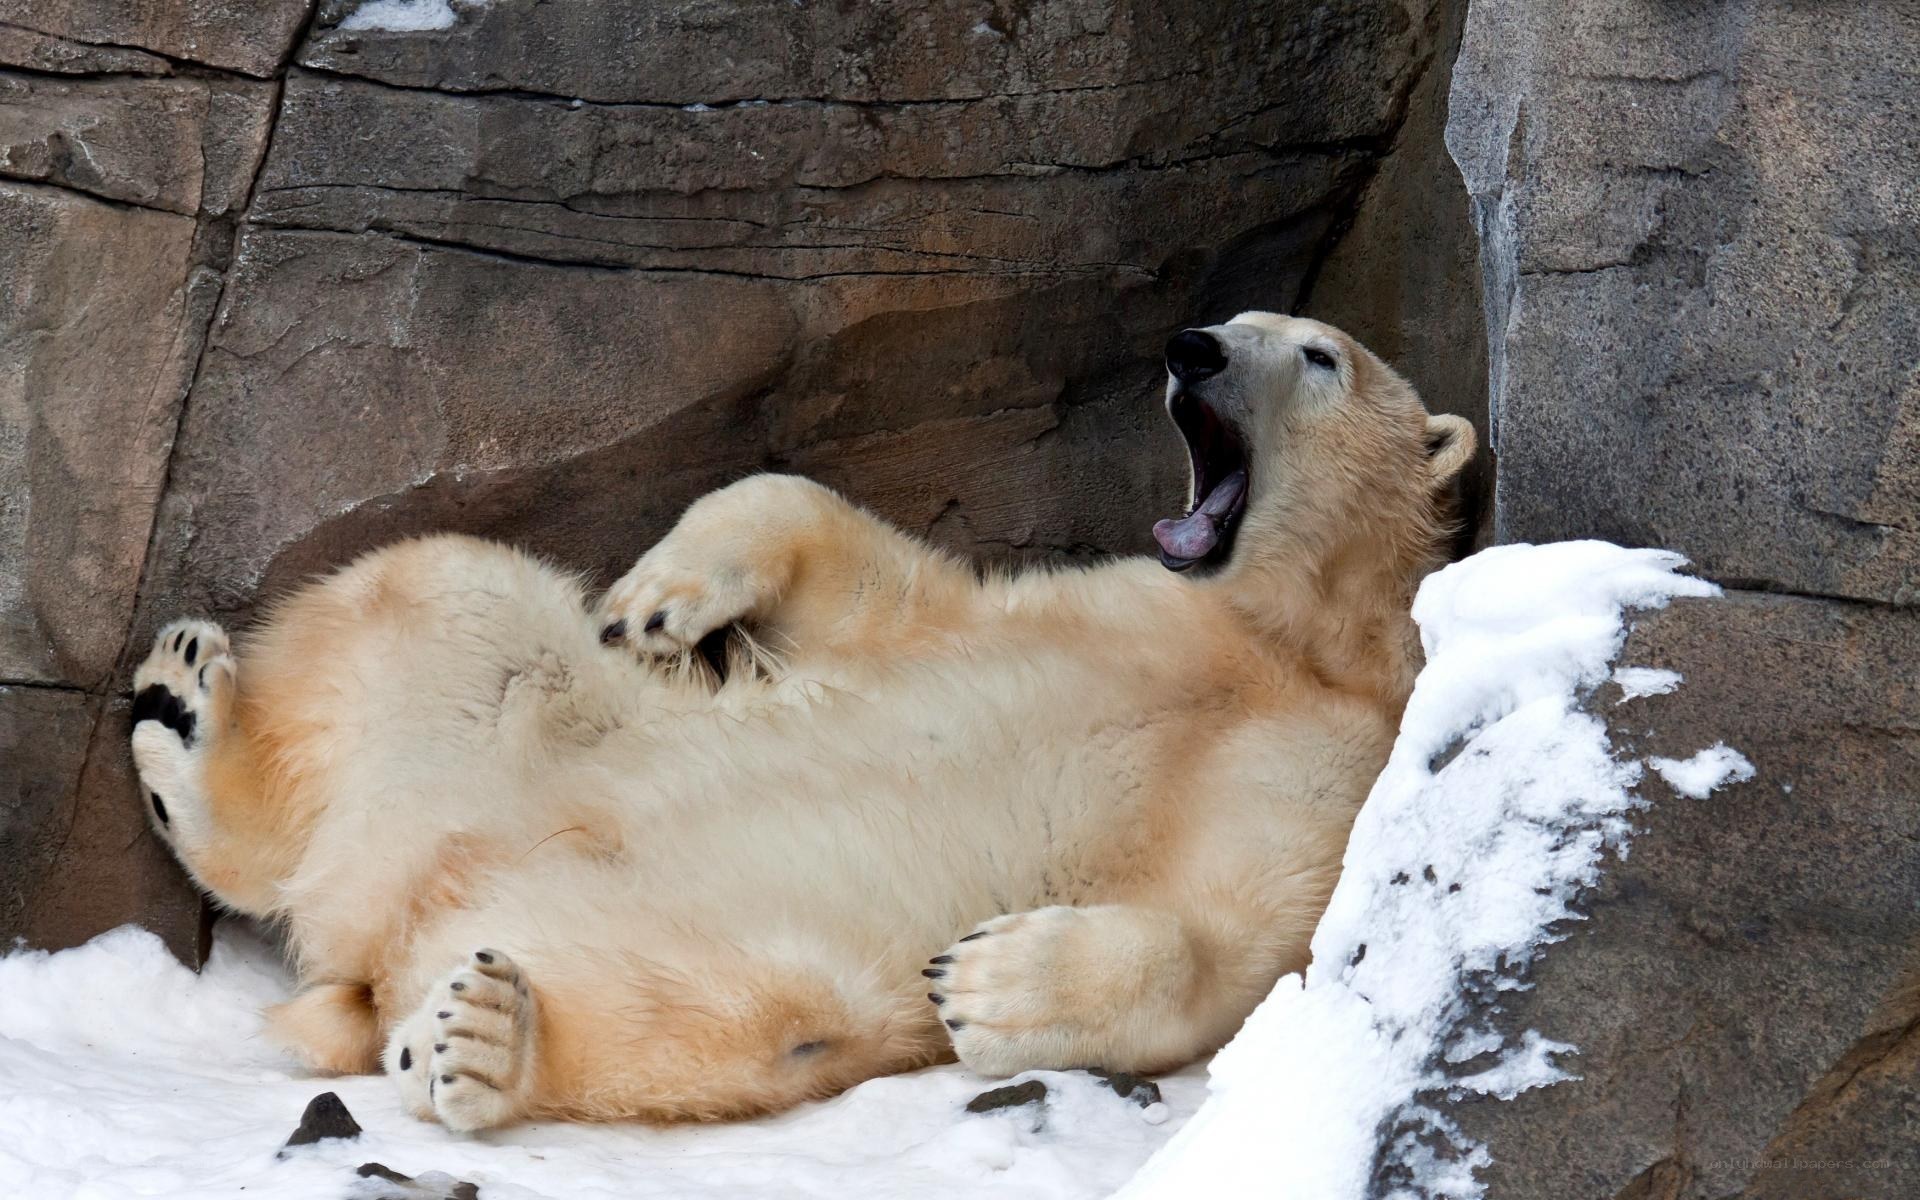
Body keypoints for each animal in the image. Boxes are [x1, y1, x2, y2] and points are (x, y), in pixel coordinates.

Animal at [127, 313, 1475, 1130]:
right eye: (1234, 321)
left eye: (1320, 355)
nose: (1191, 348)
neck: (1286, 635)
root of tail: (377, 926)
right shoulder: (1099, 604)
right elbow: (869, 576)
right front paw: (658, 599)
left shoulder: (1345, 759)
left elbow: (1245, 944)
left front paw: (991, 982)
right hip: (507, 724)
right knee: (445, 598)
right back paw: (188, 707)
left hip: (703, 946)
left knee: (727, 1025)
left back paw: (481, 1037)